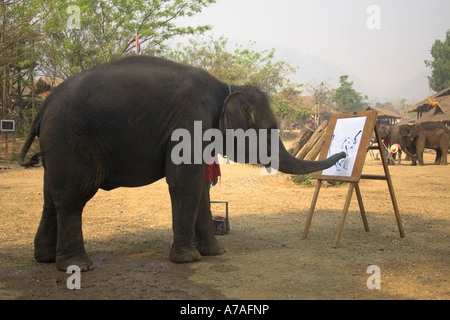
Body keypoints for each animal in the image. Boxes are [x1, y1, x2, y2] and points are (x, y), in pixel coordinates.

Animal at [18, 54, 344, 270]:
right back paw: (77, 266)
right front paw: (188, 259)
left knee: (52, 196)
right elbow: (185, 181)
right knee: (73, 197)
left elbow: (201, 187)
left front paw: (215, 253)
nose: (342, 154)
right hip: (70, 138)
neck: (227, 86)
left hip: (57, 145)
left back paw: (46, 259)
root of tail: (43, 105)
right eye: (270, 130)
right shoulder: (191, 119)